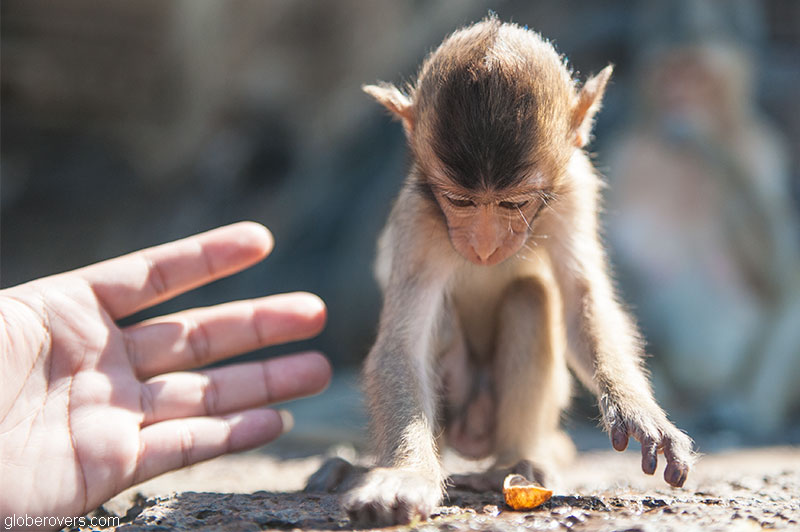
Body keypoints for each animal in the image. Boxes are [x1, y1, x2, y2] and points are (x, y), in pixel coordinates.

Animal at [306, 17, 694, 526]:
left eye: (513, 203)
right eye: (460, 201)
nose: (485, 246)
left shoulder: (576, 192)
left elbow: (580, 300)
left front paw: (637, 410)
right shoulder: (418, 218)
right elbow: (402, 345)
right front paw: (405, 476)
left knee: (531, 297)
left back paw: (511, 467)